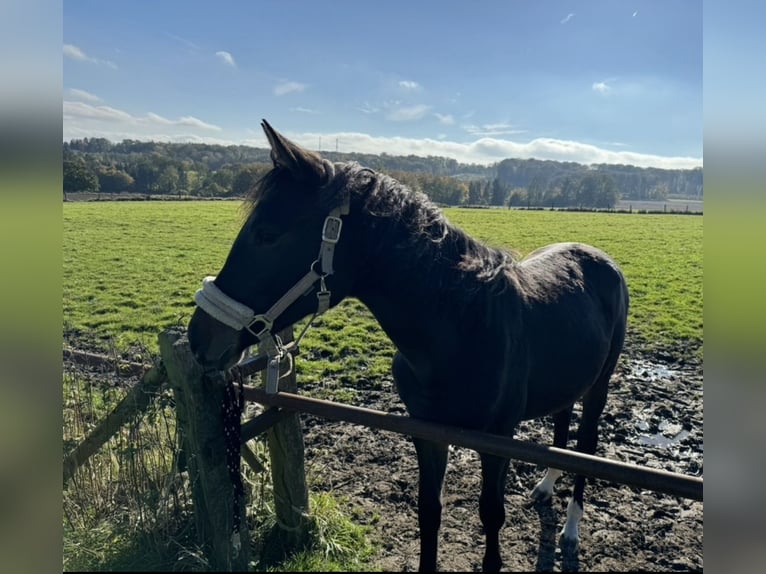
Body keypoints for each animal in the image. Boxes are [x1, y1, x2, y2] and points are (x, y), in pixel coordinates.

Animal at [188, 120, 632, 572]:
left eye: (267, 235)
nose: (199, 336)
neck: (463, 331)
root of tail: (599, 258)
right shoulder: (427, 434)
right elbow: (429, 511)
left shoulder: (498, 440)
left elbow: (492, 515)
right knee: (561, 425)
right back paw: (545, 486)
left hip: (599, 387)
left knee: (586, 447)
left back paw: (571, 530)